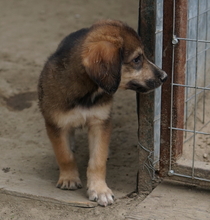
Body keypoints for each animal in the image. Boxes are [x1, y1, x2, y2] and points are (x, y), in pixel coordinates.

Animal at [38, 19, 167, 206]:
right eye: (137, 59)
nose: (165, 76)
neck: (87, 94)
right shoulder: (55, 123)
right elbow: (64, 155)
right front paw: (69, 178)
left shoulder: (100, 122)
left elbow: (97, 160)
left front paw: (99, 190)